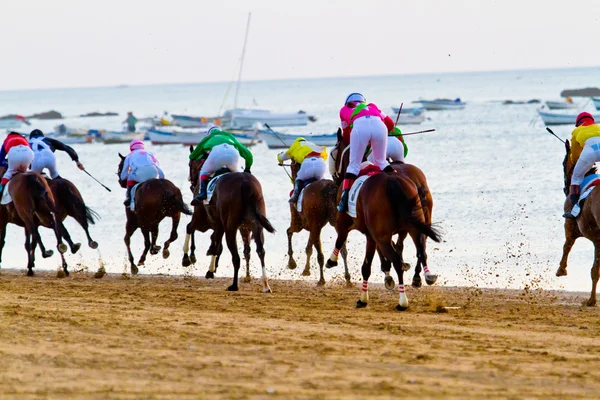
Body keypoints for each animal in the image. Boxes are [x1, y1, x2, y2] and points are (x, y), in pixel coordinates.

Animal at [188, 158, 276, 292]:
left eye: (190, 164)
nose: (192, 184)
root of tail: (245, 184)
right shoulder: (240, 228)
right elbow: (218, 245)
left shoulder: (206, 220)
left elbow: (213, 242)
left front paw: (206, 268)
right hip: (256, 226)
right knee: (260, 251)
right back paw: (265, 285)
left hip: (230, 228)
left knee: (236, 257)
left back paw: (234, 285)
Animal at [328, 130, 440, 310]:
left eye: (332, 153)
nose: (336, 179)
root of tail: (394, 181)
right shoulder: (378, 233)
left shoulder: (348, 224)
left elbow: (342, 239)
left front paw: (332, 260)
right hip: (416, 226)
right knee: (421, 250)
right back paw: (423, 276)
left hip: (383, 234)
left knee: (397, 260)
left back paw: (402, 301)